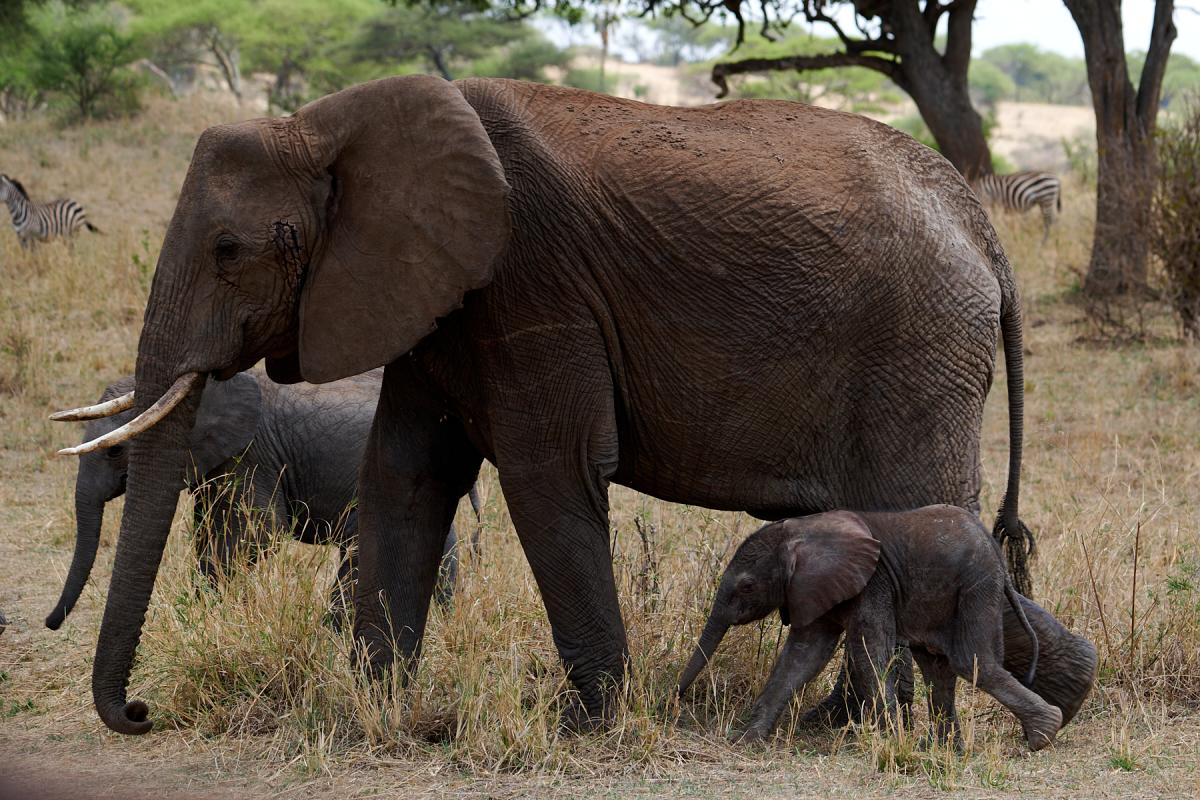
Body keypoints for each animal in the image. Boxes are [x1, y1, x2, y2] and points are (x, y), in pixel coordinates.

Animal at [46, 371, 477, 633]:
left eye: (115, 450)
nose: (50, 623)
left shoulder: (253, 455)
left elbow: (261, 533)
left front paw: (206, 616)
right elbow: (209, 532)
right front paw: (204, 617)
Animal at [681, 506, 1065, 753]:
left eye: (747, 587)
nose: (675, 699)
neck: (803, 528)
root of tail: (995, 549)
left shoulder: (873, 582)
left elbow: (867, 650)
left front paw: (892, 741)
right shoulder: (814, 587)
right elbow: (803, 657)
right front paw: (746, 741)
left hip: (977, 584)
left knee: (972, 663)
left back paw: (1041, 736)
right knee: (938, 668)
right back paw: (945, 749)